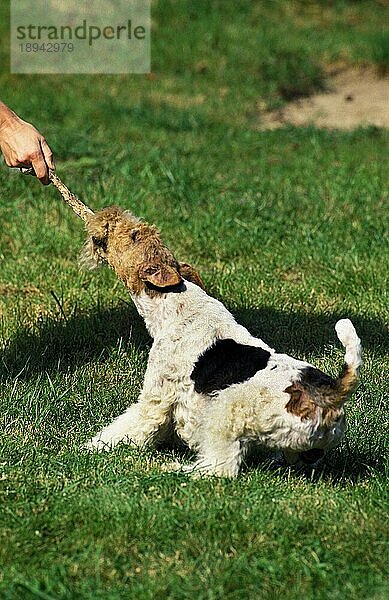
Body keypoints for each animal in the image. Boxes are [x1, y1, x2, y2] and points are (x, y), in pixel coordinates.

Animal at [82, 206, 360, 478]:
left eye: (134, 235)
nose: (109, 212)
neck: (174, 302)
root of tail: (334, 393)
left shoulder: (158, 396)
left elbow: (131, 424)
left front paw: (91, 448)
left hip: (226, 410)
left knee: (221, 467)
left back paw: (176, 469)